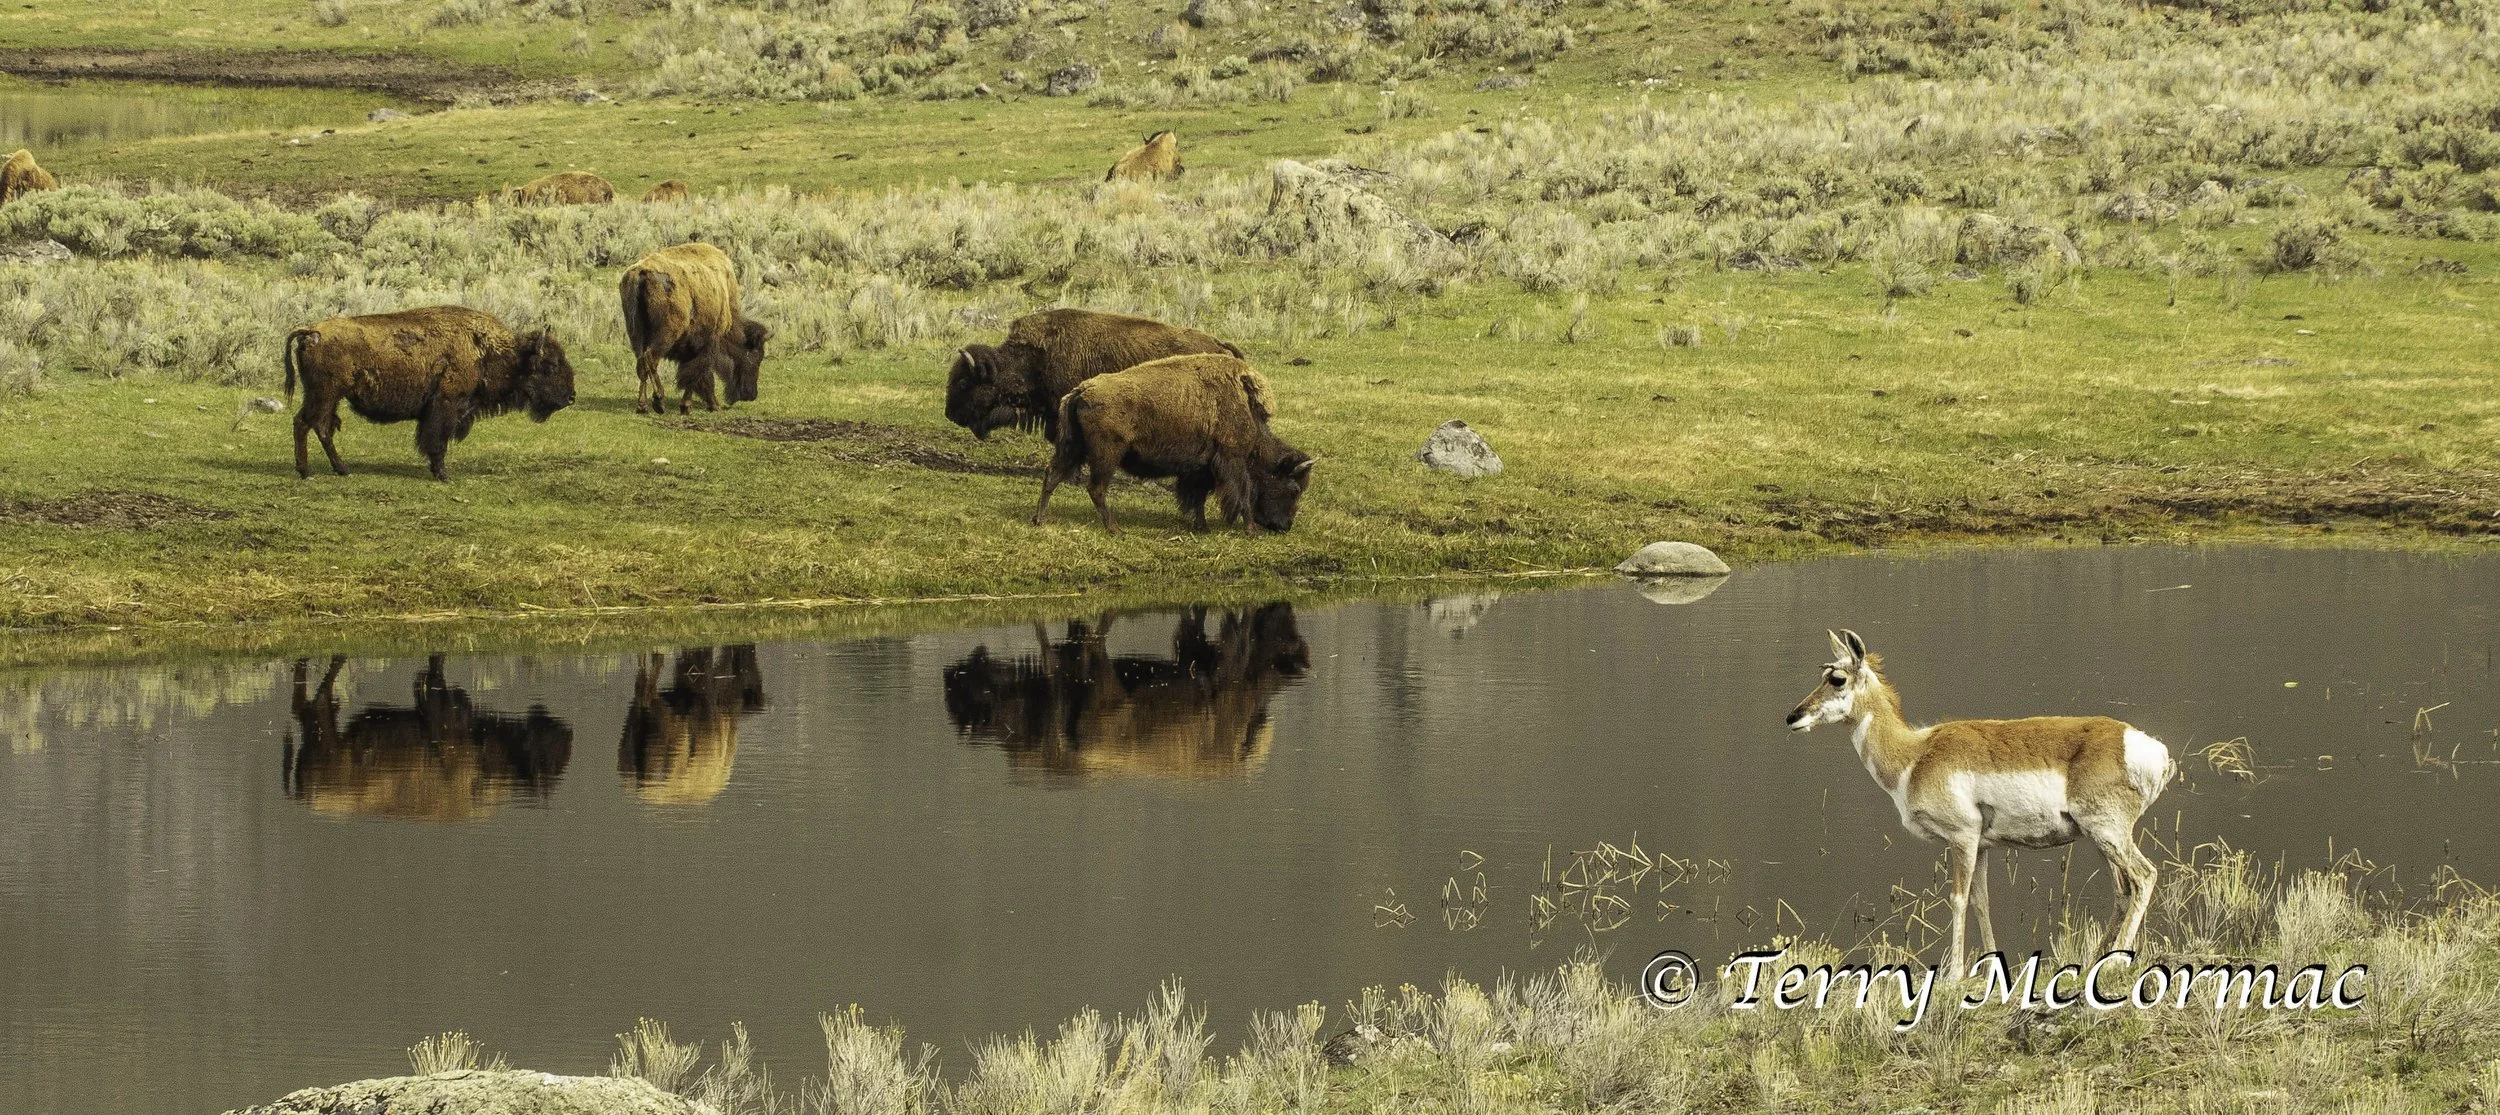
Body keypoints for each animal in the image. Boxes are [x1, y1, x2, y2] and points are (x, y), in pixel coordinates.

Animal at [283, 305, 577, 481]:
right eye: (550, 365)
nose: (571, 396)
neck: (488, 349)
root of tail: (312, 331)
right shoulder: (446, 406)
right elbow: (437, 442)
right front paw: (443, 475)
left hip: (328, 397)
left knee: (321, 426)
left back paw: (341, 469)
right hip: (324, 394)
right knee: (306, 423)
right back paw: (307, 471)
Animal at [620, 242, 771, 415]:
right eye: (755, 357)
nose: (751, 395)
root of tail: (641, 273)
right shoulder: (707, 345)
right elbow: (698, 375)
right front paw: (695, 406)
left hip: (636, 333)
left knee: (641, 364)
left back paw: (642, 406)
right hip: (667, 334)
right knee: (650, 359)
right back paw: (659, 401)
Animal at [1034, 353, 1313, 534]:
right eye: (1294, 490)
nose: (1286, 526)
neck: (1244, 408)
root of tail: (1081, 390)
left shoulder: (1201, 468)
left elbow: (1198, 497)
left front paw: (1202, 527)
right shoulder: (1233, 460)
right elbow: (1241, 495)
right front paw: (1250, 530)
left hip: (1073, 448)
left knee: (1052, 475)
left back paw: (1040, 520)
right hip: (1107, 454)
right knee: (1096, 488)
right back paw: (1115, 529)